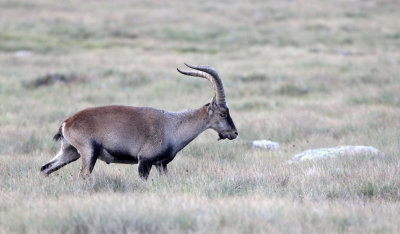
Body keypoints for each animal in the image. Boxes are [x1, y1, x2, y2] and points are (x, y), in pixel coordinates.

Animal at [40, 63, 238, 179]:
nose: (234, 133)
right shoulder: (144, 162)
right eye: (222, 113)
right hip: (89, 153)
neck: (172, 125)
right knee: (83, 175)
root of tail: (67, 122)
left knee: (45, 168)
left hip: (70, 152)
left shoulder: (161, 165)